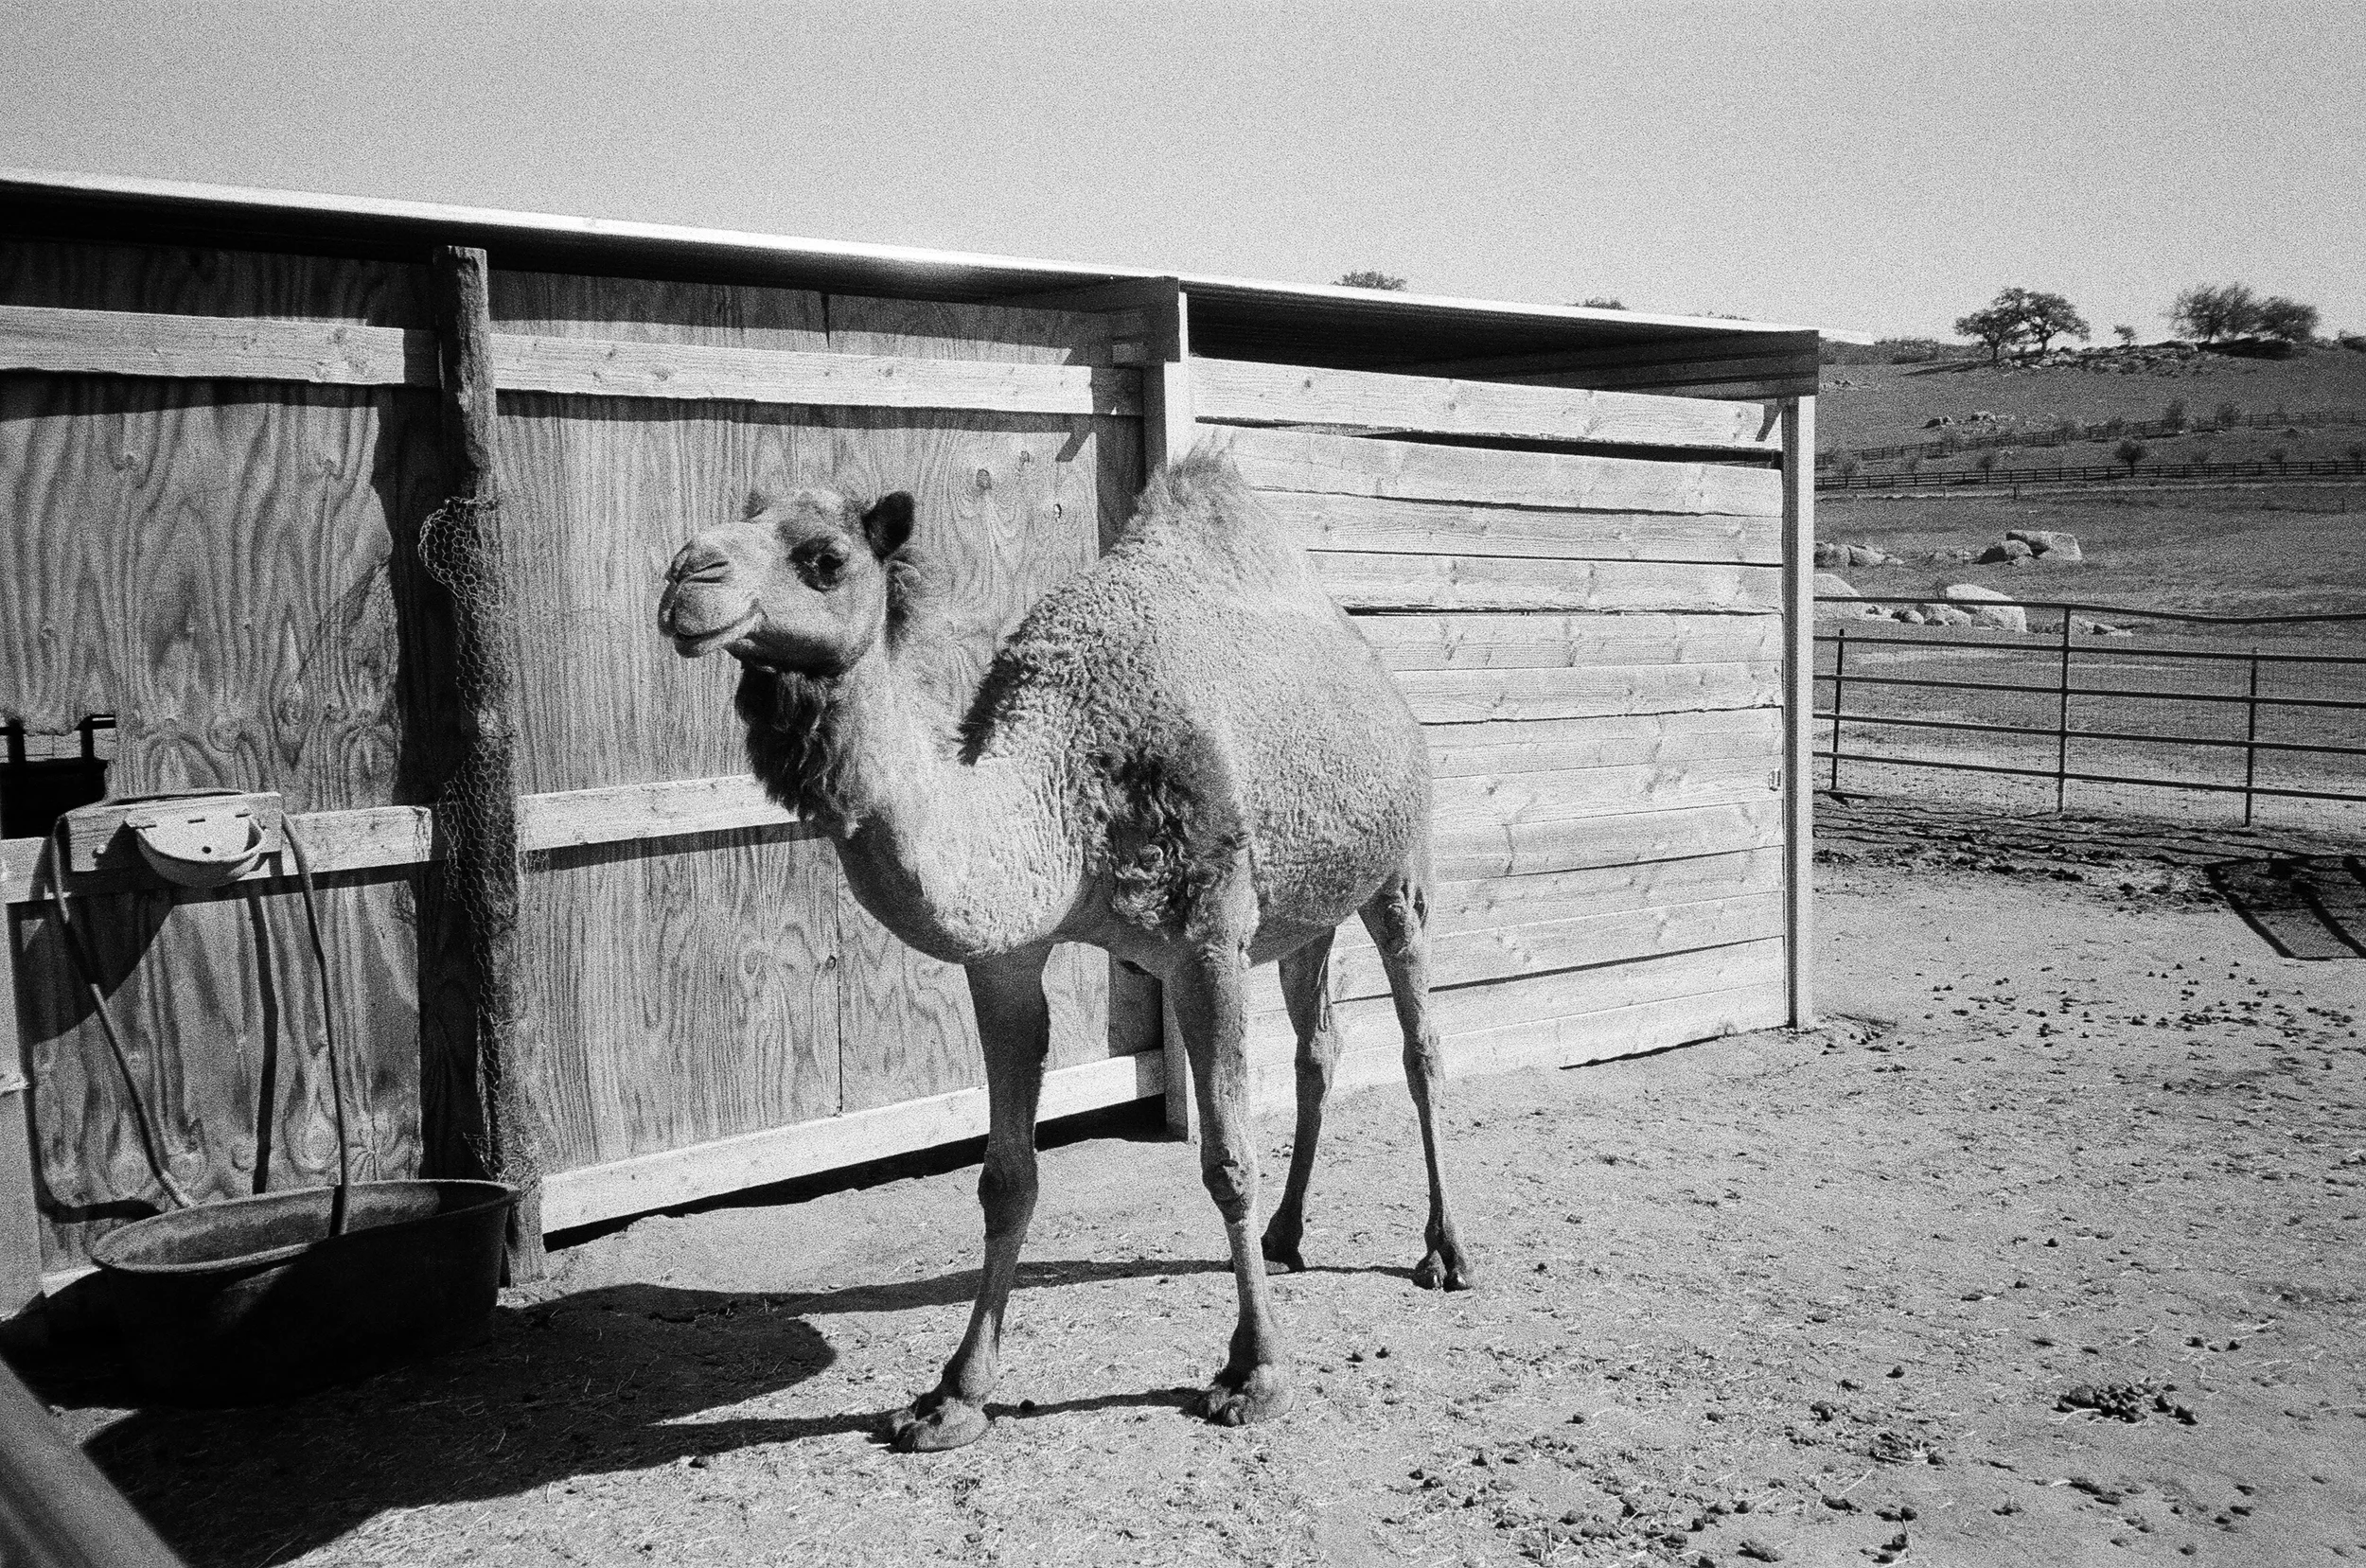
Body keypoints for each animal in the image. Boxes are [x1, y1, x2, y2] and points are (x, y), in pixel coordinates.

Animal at [656, 451, 1475, 1450]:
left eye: (825, 558)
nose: (685, 579)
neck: (1062, 785)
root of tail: (1374, 669)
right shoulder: (1005, 960)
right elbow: (1005, 1178)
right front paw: (953, 1394)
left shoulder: (1207, 939)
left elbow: (1226, 1159)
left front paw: (1255, 1373)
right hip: (1302, 910)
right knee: (1320, 1046)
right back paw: (1286, 1238)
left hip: (1400, 866)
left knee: (1419, 1045)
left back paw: (1444, 1251)